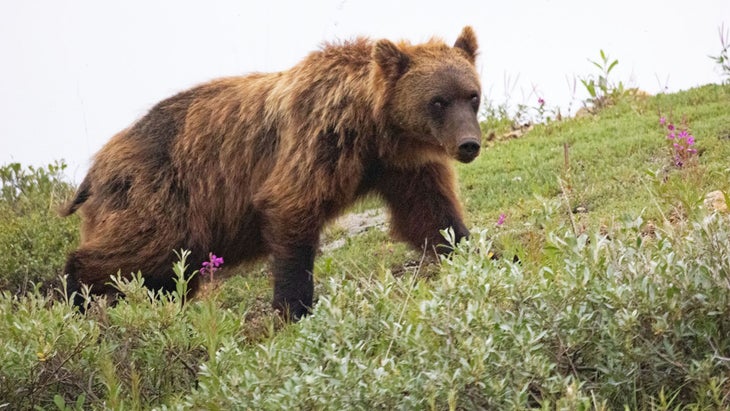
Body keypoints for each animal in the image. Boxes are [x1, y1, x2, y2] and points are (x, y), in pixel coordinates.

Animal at [62, 26, 480, 322]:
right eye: (438, 101)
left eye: (472, 95)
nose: (469, 144)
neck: (374, 128)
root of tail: (95, 168)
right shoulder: (318, 142)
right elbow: (291, 210)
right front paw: (294, 308)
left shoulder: (400, 166)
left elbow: (430, 216)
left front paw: (477, 254)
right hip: (161, 193)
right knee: (139, 248)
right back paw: (74, 296)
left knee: (163, 275)